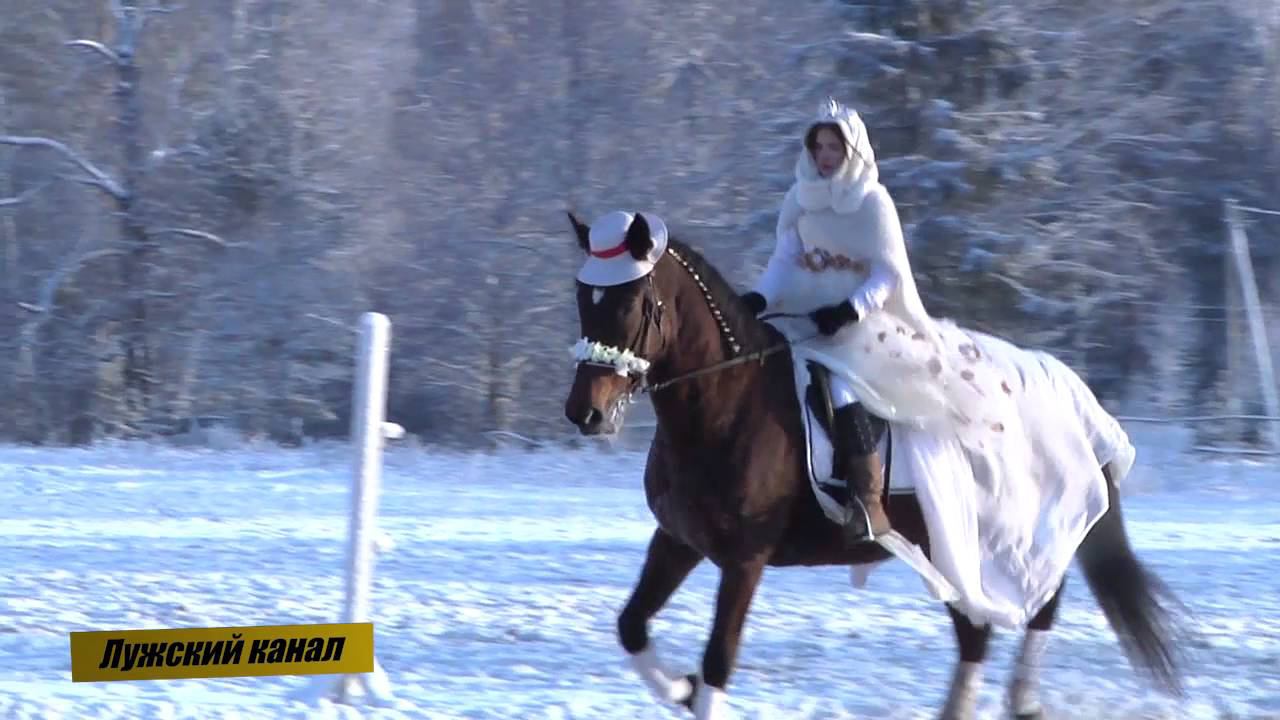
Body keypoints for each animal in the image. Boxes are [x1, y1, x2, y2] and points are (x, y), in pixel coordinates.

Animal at [560, 210, 1187, 712]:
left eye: (634, 302)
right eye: (583, 299)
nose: (585, 412)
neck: (727, 402)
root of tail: (1077, 398)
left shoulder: (745, 559)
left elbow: (718, 661)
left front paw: (696, 688)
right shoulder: (679, 540)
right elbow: (631, 627)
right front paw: (681, 687)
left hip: (1003, 534)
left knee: (1037, 607)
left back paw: (1023, 699)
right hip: (950, 543)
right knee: (978, 634)